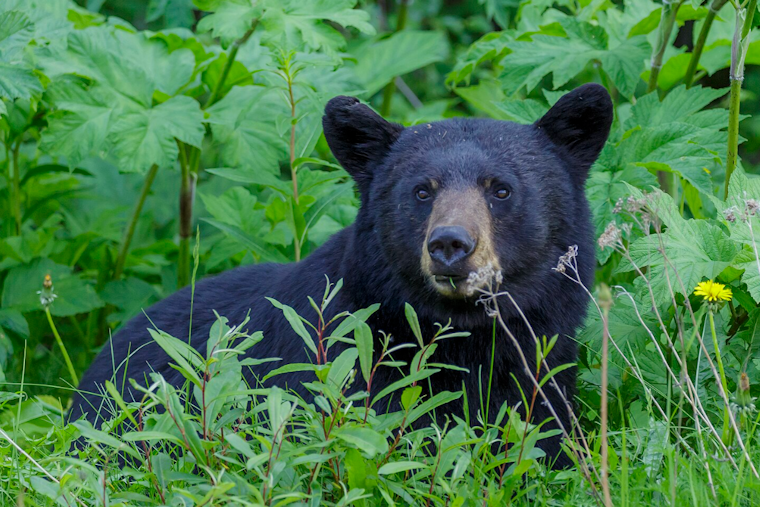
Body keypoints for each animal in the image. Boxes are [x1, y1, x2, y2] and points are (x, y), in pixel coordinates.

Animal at [69, 83, 613, 468]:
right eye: (422, 190)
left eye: (500, 189)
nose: (450, 245)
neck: (464, 338)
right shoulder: (341, 369)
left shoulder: (543, 371)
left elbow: (547, 441)